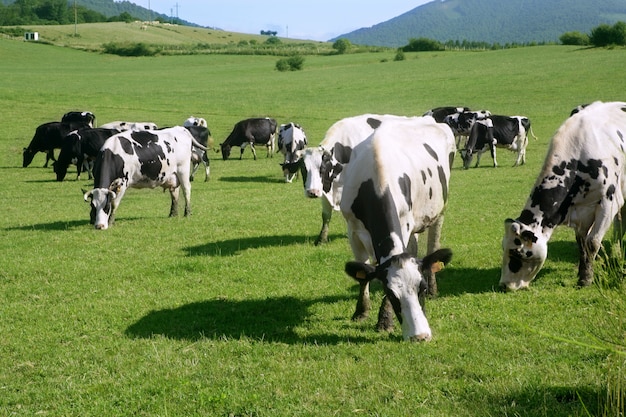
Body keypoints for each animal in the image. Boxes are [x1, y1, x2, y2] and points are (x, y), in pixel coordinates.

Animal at [300, 112, 426, 245]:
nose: (312, 192)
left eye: (322, 168)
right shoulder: (326, 187)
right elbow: (325, 215)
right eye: (303, 168)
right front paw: (321, 239)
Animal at [338, 118, 456, 342]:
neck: (377, 180)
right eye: (392, 293)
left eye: (421, 288)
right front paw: (361, 311)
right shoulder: (353, 229)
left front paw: (385, 321)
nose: (420, 336)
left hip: (441, 209)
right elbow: (363, 271)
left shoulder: (404, 223)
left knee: (433, 245)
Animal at [500, 101, 626, 290]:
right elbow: (582, 243)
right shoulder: (580, 209)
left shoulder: (609, 202)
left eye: (517, 253)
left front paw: (587, 279)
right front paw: (583, 275)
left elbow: (592, 242)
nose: (504, 284)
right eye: (504, 248)